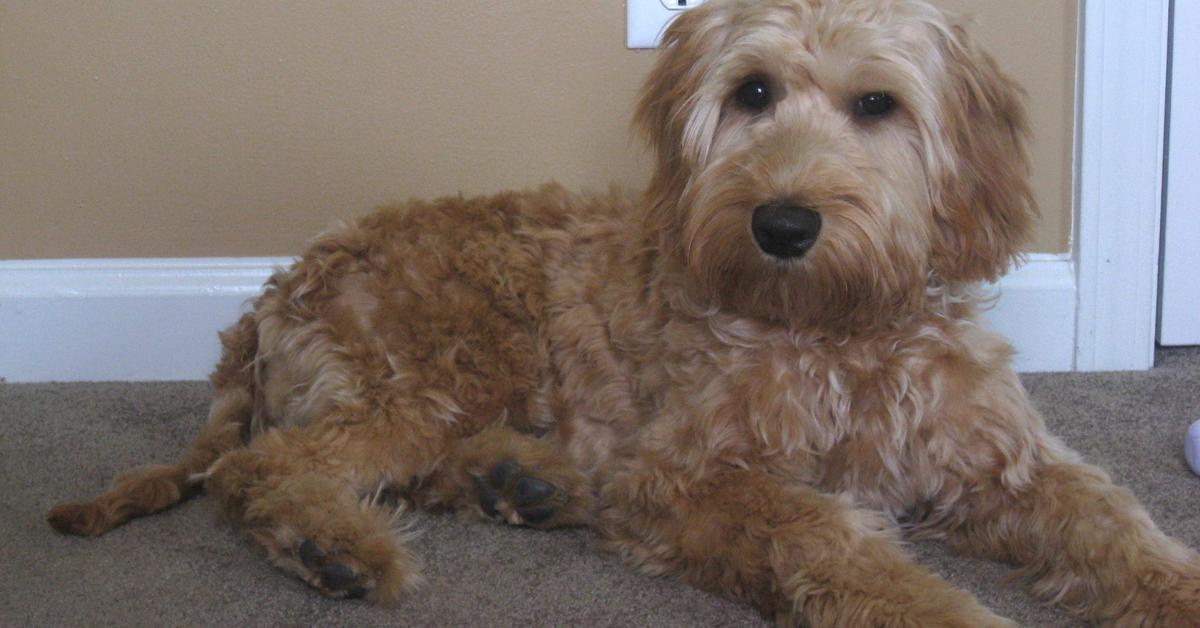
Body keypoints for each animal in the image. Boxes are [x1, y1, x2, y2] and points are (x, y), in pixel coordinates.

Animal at [44, 2, 1200, 624]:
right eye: (752, 92)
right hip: (434, 368)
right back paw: (343, 546)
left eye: (878, 105)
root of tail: (274, 290)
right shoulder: (676, 473)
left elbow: (1118, 526)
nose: (783, 221)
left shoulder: (1007, 461)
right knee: (269, 467)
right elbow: (825, 532)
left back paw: (525, 482)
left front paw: (1175, 587)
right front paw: (943, 608)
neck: (832, 325)